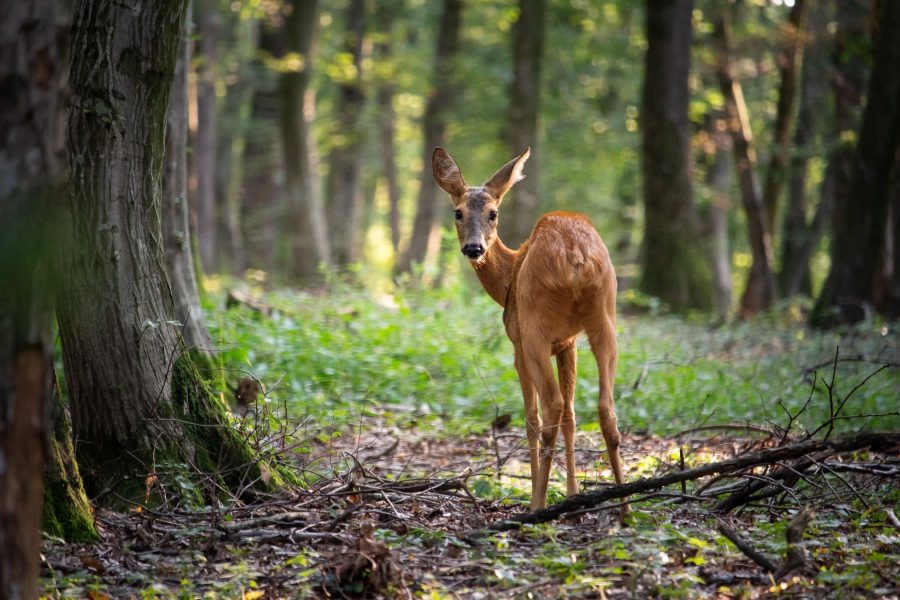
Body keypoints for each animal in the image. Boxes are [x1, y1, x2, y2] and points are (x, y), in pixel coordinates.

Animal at [436, 146, 624, 510]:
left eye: (493, 213)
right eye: (457, 212)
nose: (474, 248)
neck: (508, 276)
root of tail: (576, 256)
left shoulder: (519, 344)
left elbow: (531, 419)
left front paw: (547, 491)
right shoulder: (568, 343)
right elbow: (572, 418)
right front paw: (572, 493)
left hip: (536, 326)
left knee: (550, 408)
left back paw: (536, 506)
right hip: (605, 315)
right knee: (604, 409)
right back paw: (624, 508)